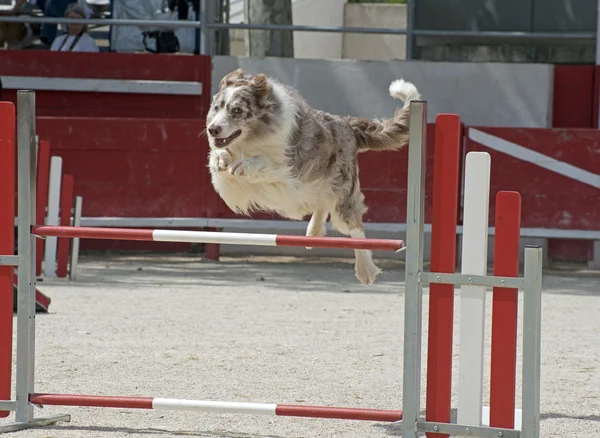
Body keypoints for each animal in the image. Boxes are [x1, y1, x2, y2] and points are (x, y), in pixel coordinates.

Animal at [206, 67, 422, 288]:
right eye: (216, 107)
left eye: (237, 111)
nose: (212, 129)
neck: (252, 137)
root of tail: (348, 124)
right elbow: (219, 160)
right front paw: (220, 159)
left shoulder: (290, 169)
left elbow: (264, 161)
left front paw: (244, 164)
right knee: (322, 202)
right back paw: (314, 232)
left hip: (342, 193)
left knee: (355, 228)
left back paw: (365, 270)